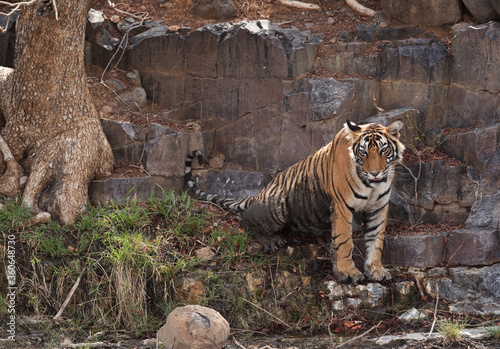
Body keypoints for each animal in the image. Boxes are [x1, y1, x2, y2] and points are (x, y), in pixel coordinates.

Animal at [186, 119, 404, 282]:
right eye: (363, 152)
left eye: (383, 151)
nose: (374, 173)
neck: (372, 185)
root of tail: (260, 193)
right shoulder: (343, 207)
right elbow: (344, 242)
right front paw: (347, 273)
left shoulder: (378, 208)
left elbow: (376, 240)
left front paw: (375, 271)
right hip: (277, 204)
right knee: (244, 221)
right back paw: (270, 240)